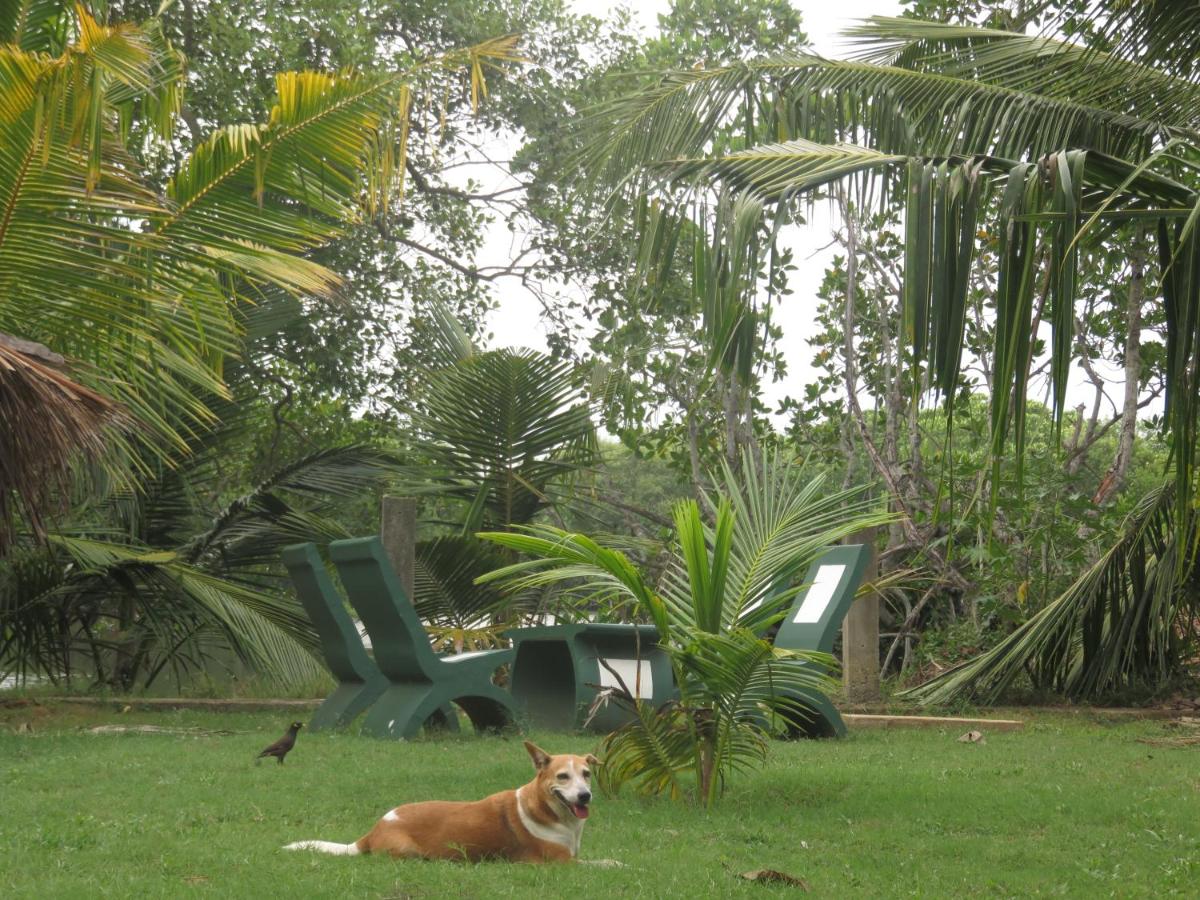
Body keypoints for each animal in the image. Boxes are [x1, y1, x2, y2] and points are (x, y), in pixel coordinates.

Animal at [282, 744, 600, 864]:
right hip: (409, 851)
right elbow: (605, 863)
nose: (585, 796)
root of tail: (372, 832)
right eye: (562, 776)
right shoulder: (560, 863)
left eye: (586, 774)